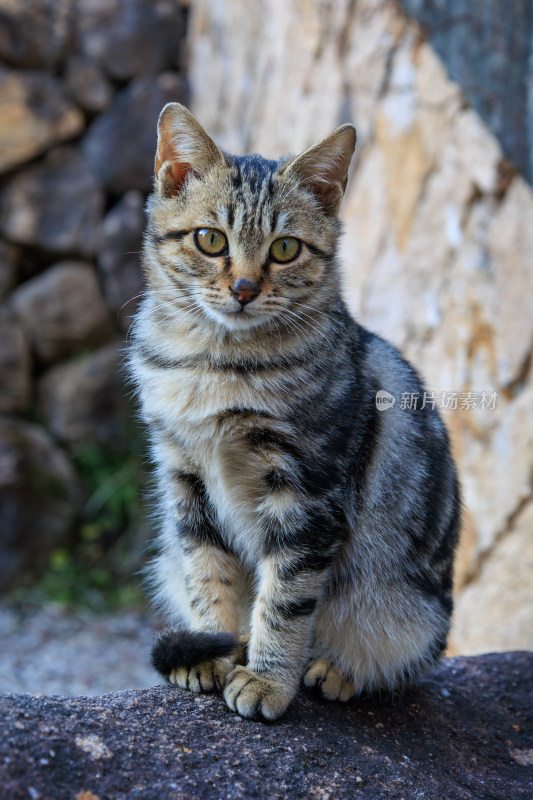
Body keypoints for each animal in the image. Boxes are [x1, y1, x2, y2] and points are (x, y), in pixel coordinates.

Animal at [128, 100, 458, 720]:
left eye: (285, 248)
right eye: (210, 239)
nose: (243, 288)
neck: (216, 365)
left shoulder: (308, 494)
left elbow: (284, 600)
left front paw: (266, 680)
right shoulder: (184, 477)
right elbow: (208, 576)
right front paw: (213, 649)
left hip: (405, 611)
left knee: (399, 660)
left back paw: (336, 670)